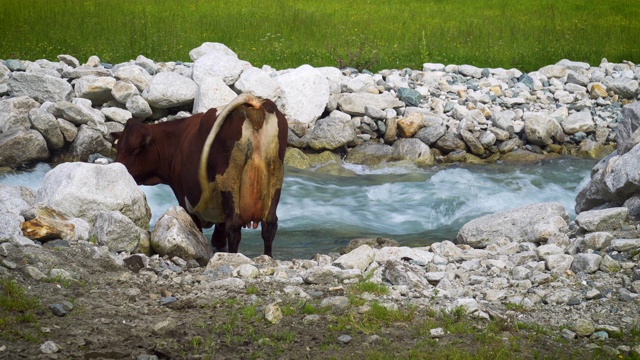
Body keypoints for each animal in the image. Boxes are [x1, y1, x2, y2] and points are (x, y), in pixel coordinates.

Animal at [112, 93, 288, 256]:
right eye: (118, 147)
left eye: (133, 149)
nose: (117, 166)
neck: (178, 140)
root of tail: (255, 103)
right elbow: (218, 238)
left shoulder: (185, 200)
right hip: (275, 174)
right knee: (269, 224)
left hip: (228, 180)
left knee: (234, 226)